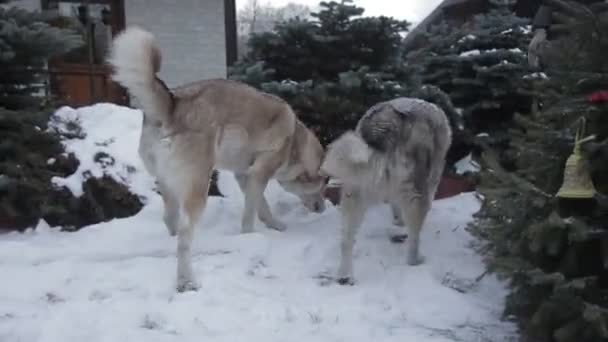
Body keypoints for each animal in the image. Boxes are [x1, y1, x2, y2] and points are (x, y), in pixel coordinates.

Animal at [318, 97, 452, 284]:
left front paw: (397, 221)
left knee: (346, 241)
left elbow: (395, 205)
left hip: (354, 191)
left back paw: (344, 275)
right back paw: (415, 261)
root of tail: (384, 124)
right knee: (414, 237)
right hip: (415, 194)